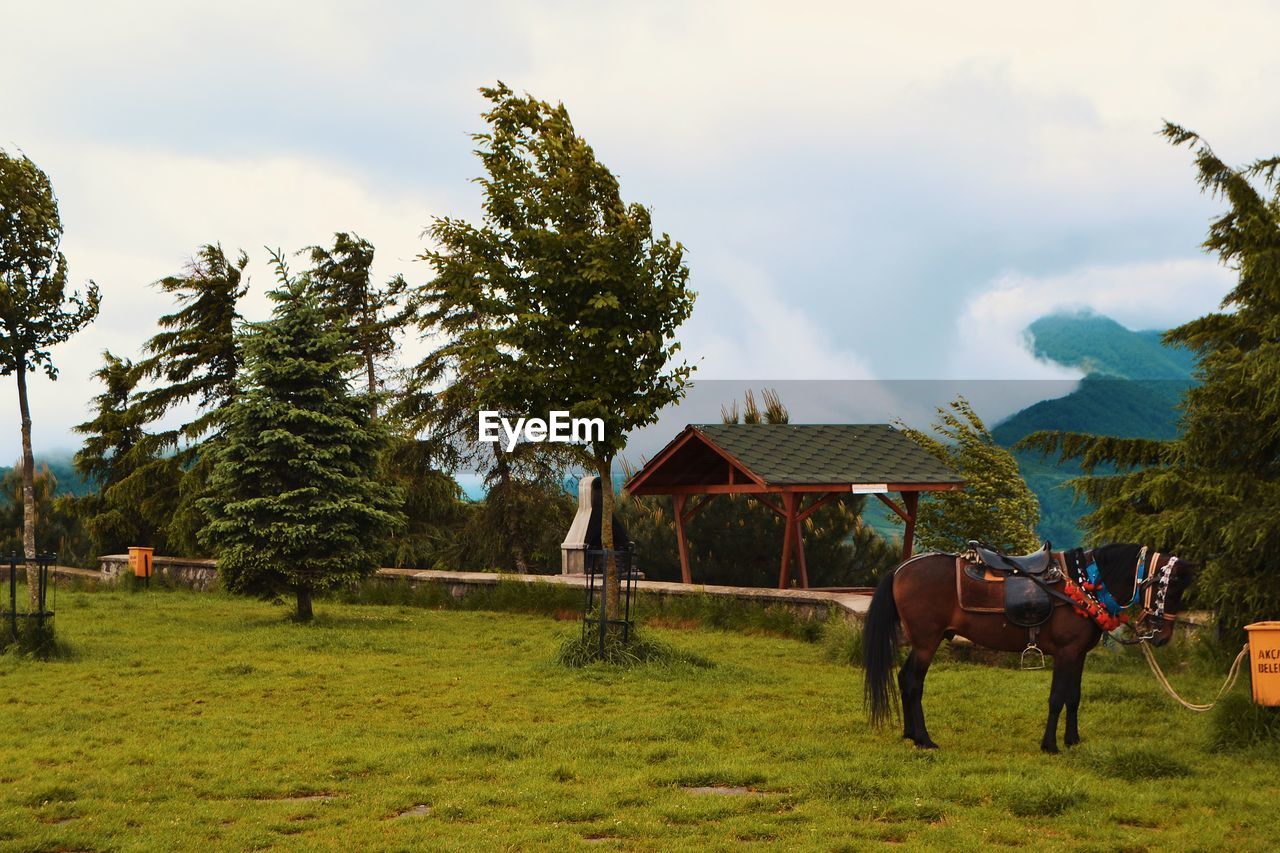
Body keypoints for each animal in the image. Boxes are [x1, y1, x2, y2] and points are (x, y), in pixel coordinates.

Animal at [865, 545, 1192, 753]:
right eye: (1170, 588)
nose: (1162, 636)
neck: (1084, 585)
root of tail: (901, 569)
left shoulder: (1078, 655)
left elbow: (1074, 698)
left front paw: (1072, 739)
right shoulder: (1065, 653)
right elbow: (1057, 698)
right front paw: (1050, 745)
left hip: (921, 643)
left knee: (904, 679)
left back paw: (910, 734)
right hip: (926, 642)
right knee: (913, 682)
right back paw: (924, 739)